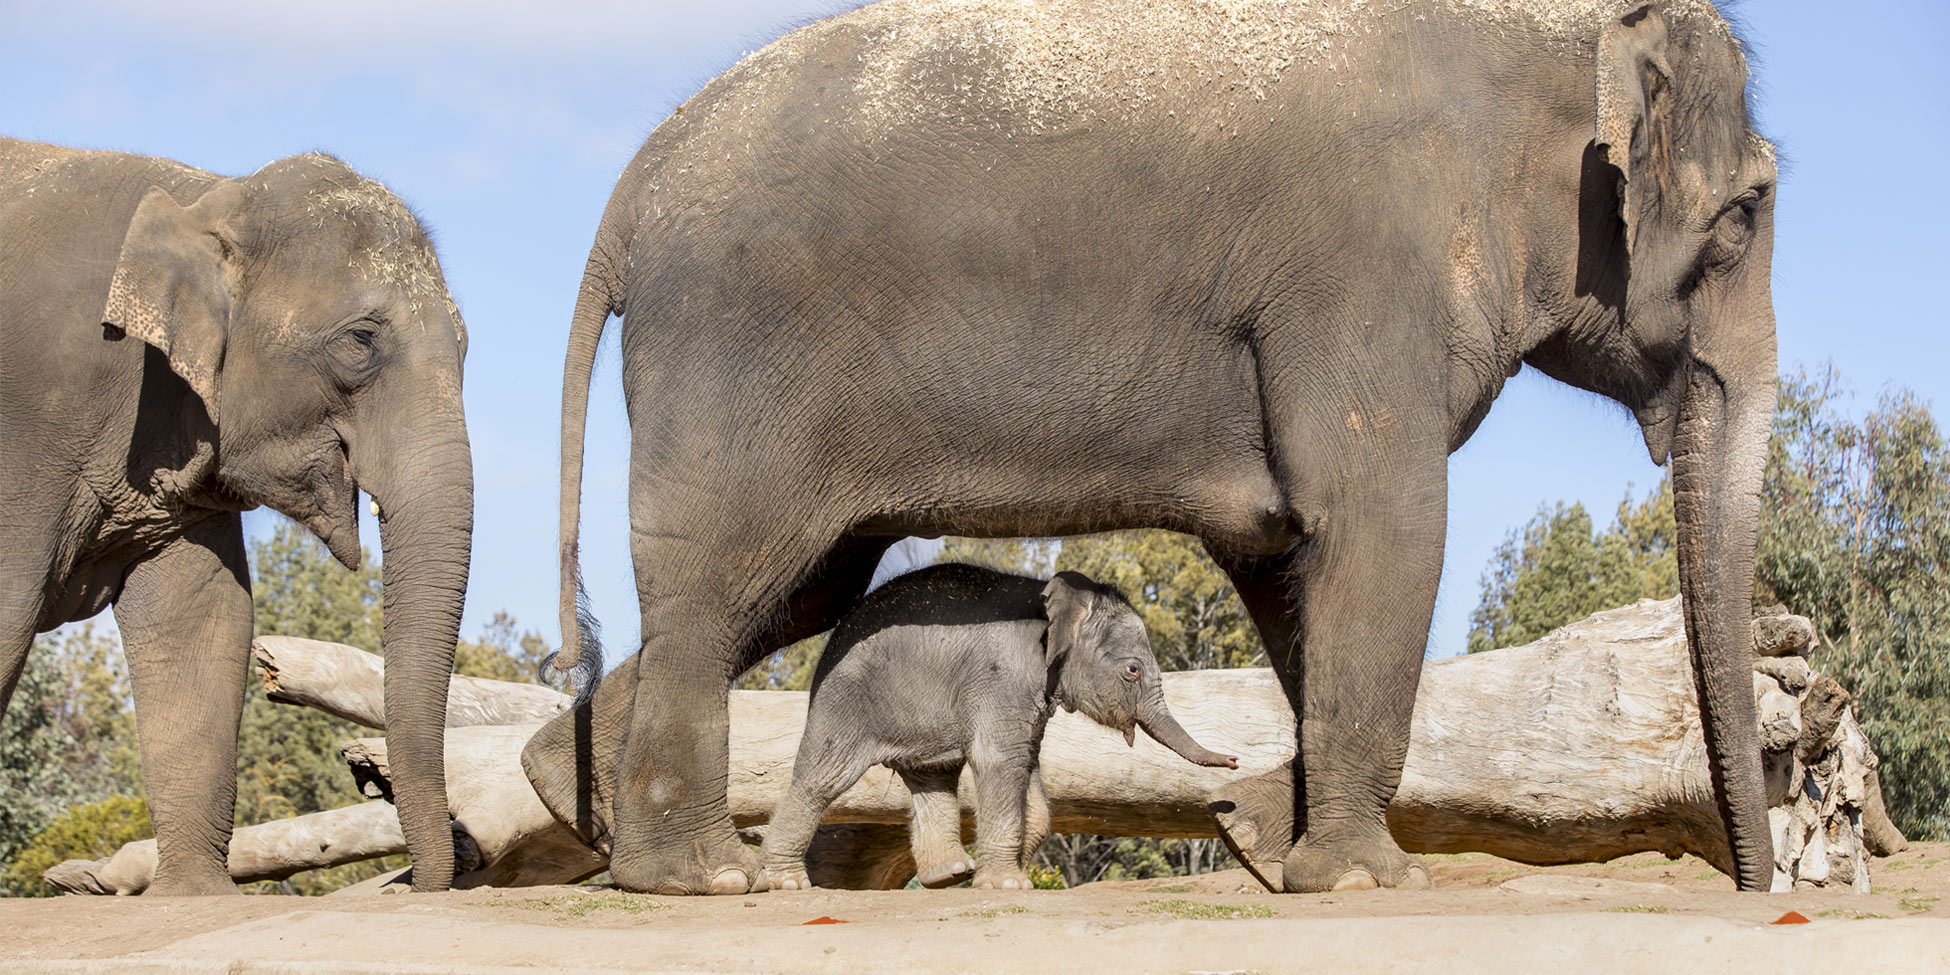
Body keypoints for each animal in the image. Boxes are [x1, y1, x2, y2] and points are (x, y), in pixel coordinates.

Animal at [0, 139, 474, 893]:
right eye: (361, 341)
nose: (424, 879)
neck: (207, 195)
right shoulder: (31, 412)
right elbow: (7, 604)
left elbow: (205, 615)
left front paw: (195, 894)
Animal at [760, 564, 1236, 891]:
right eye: (1133, 670)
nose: (1234, 761)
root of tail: (831, 640)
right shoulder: (1003, 677)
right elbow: (1001, 760)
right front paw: (1008, 885)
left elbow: (1027, 767)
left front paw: (1011, 874)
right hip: (846, 701)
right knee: (821, 779)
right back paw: (786, 883)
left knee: (932, 778)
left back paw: (950, 875)